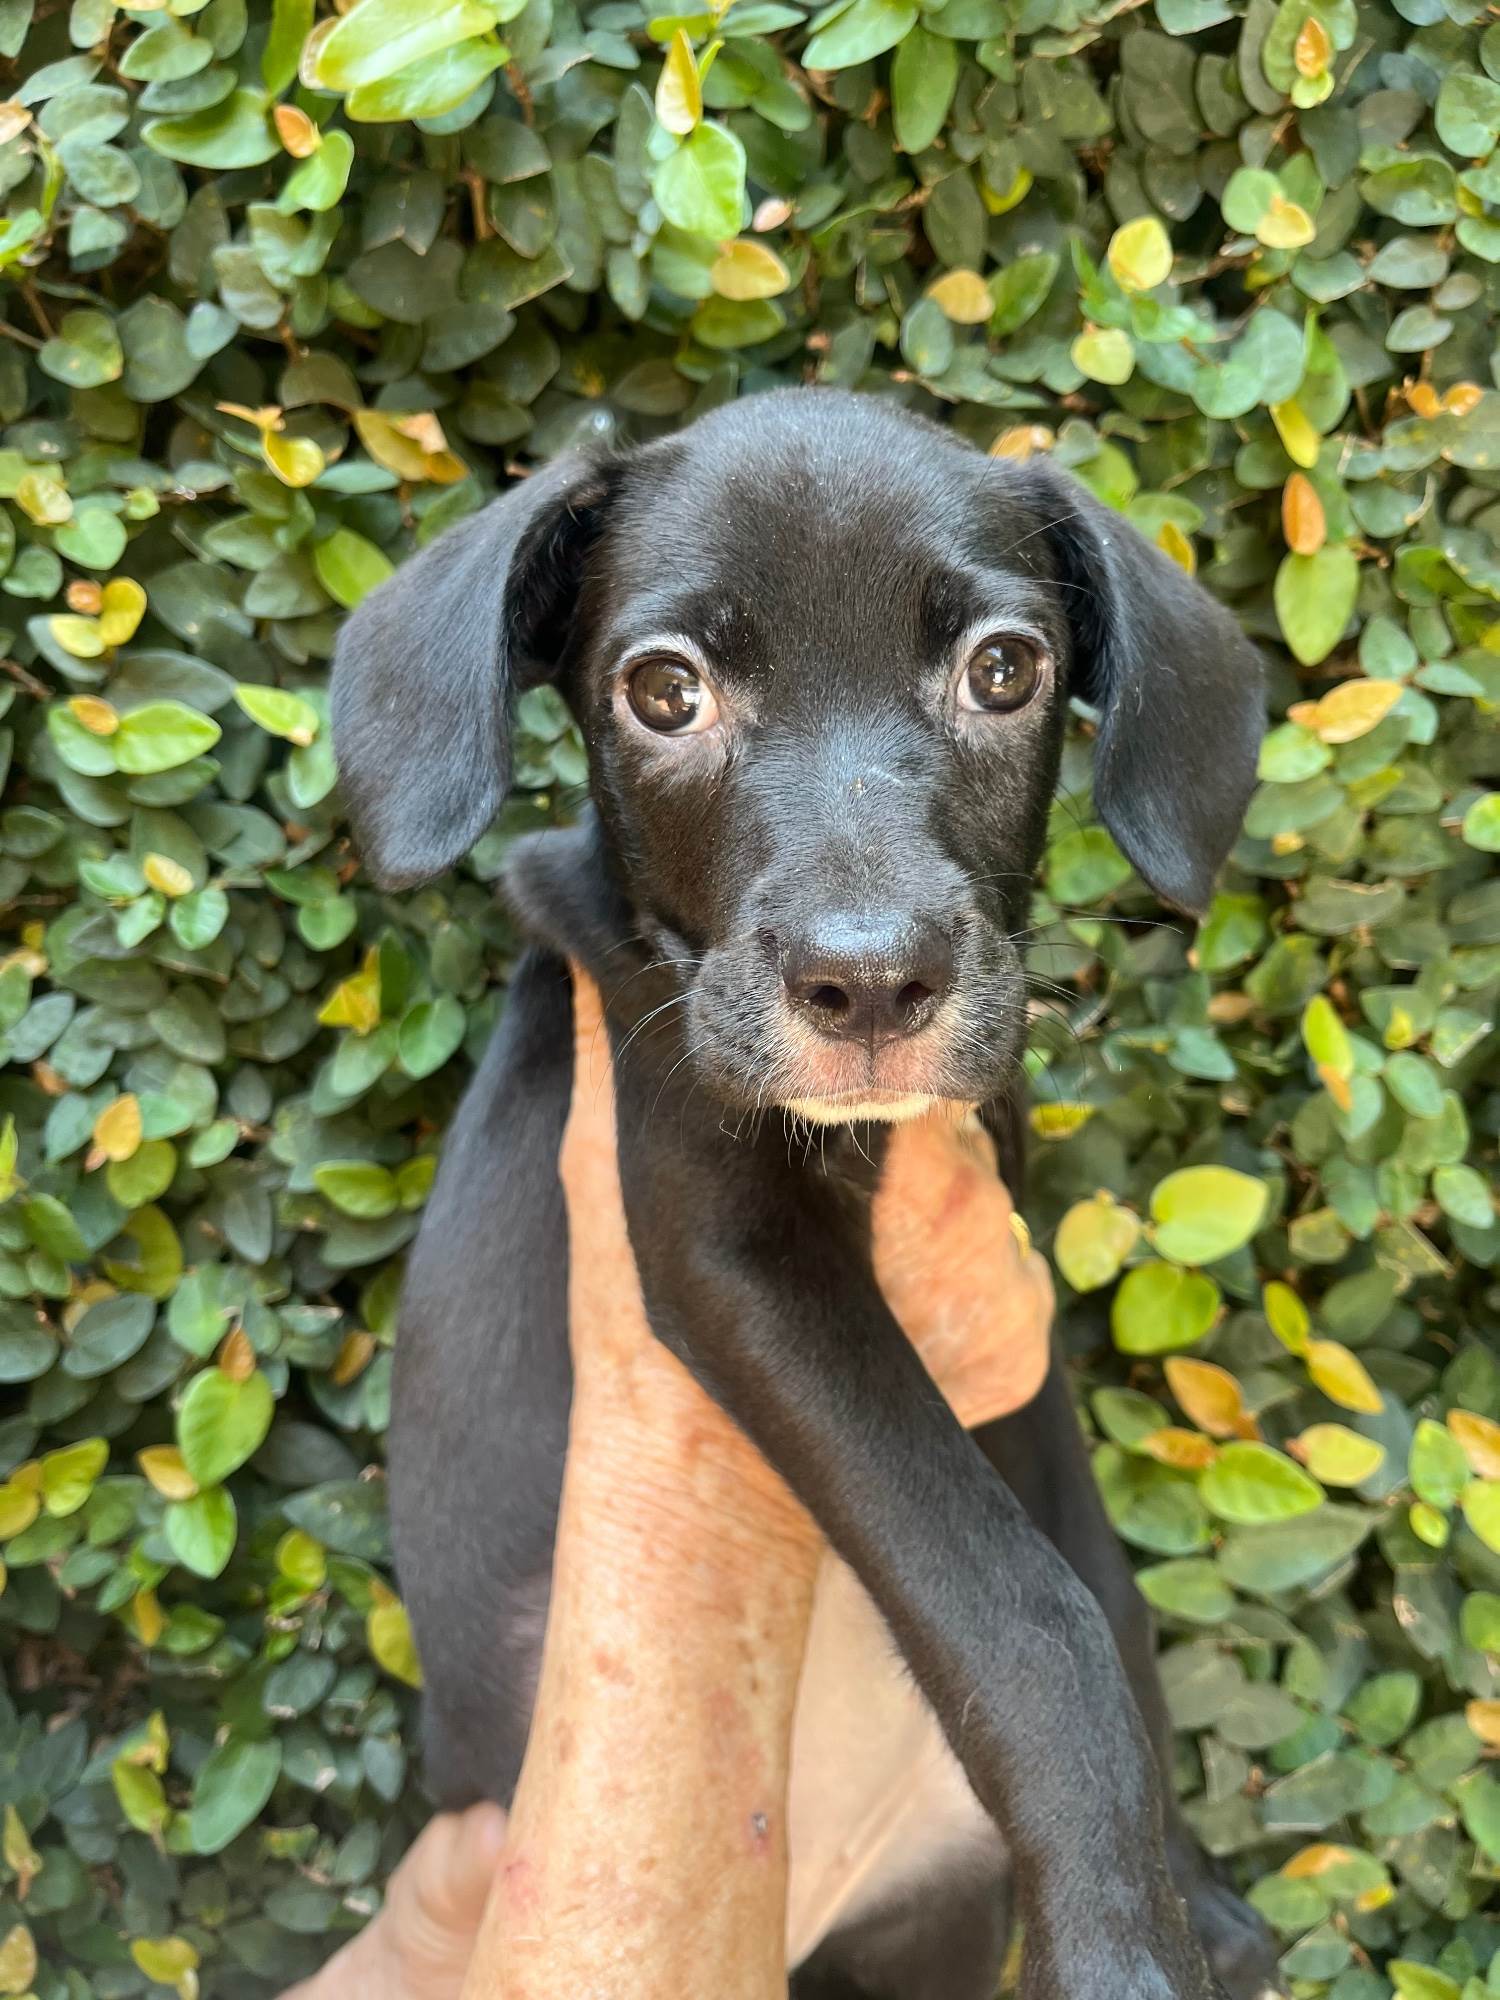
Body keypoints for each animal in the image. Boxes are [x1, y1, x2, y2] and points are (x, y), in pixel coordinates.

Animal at [331, 390, 1275, 2000]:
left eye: (1006, 669)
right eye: (664, 692)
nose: (873, 983)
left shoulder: (1013, 1341)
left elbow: (1096, 1579)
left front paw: (1181, 1900)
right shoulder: (727, 1250)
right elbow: (1031, 1611)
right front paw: (1119, 1946)